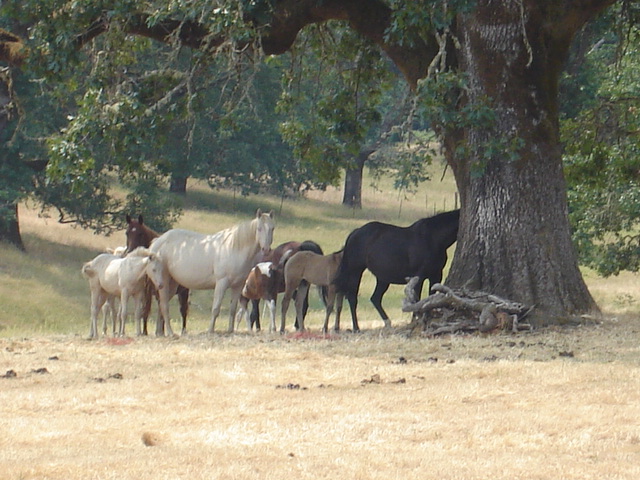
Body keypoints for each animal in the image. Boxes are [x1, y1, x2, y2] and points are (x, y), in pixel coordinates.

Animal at [149, 208, 276, 336]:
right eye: (259, 228)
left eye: (272, 228)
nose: (266, 249)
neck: (234, 249)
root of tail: (158, 241)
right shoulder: (221, 283)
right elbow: (215, 308)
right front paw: (210, 330)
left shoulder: (238, 286)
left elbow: (233, 309)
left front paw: (230, 330)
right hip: (164, 281)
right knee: (164, 305)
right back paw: (170, 332)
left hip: (173, 283)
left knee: (161, 306)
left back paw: (160, 333)